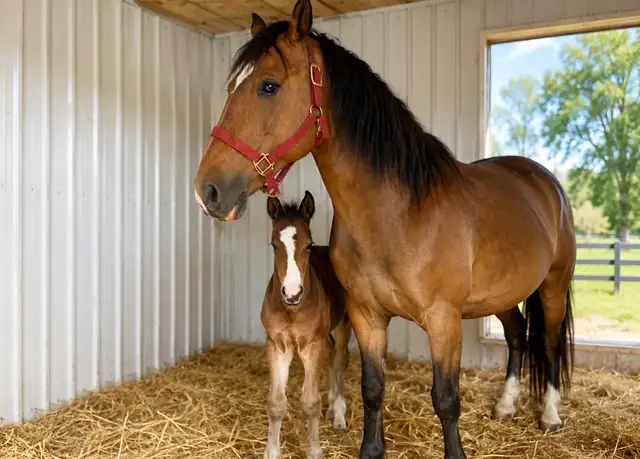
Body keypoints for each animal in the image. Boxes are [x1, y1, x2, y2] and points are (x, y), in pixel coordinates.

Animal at [260, 190, 351, 459]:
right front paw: (271, 452)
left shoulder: (312, 345)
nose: (292, 293)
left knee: (339, 360)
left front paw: (314, 451)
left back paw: (339, 414)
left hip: (343, 325)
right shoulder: (277, 346)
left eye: (308, 245)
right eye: (274, 245)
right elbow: (276, 403)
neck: (292, 310)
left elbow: (310, 403)